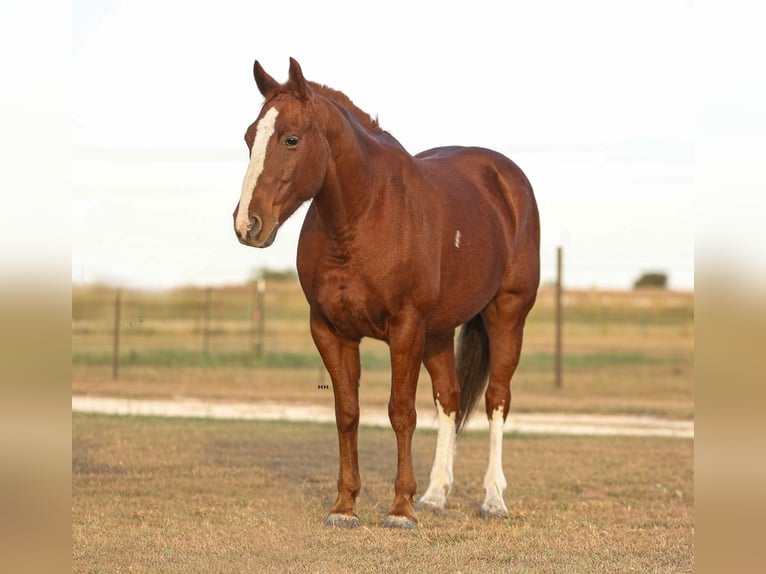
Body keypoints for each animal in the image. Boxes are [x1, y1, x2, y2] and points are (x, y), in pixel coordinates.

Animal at [233, 58, 540, 529]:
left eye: (291, 139)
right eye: (250, 138)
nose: (247, 224)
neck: (362, 217)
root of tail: (507, 181)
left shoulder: (406, 328)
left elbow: (401, 412)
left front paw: (400, 510)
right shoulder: (331, 331)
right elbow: (348, 414)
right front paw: (344, 507)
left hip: (506, 315)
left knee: (496, 399)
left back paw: (492, 500)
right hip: (438, 332)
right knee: (449, 398)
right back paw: (435, 494)